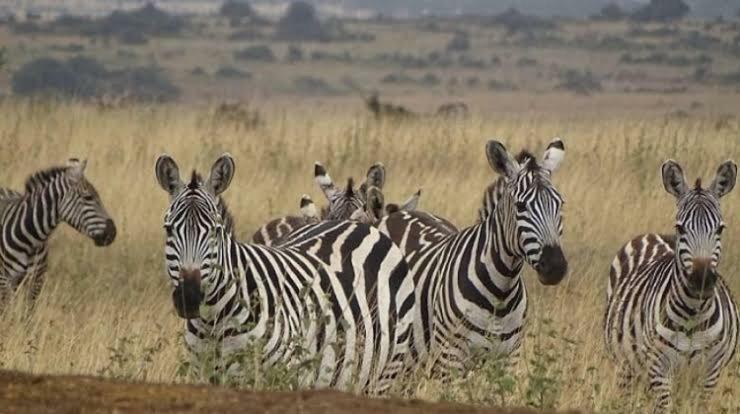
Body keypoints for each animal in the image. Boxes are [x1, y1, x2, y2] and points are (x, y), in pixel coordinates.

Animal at [0, 158, 116, 308]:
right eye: (88, 197)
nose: (113, 233)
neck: (30, 239)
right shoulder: (3, 281)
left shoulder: (37, 281)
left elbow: (28, 312)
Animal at [155, 154, 416, 392]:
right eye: (168, 229)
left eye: (215, 230)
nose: (189, 297)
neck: (214, 321)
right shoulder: (204, 375)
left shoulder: (280, 376)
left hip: (387, 370)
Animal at [376, 138, 568, 376]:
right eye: (521, 206)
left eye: (560, 204)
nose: (555, 267)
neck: (501, 294)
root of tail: (397, 213)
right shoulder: (450, 357)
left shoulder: (508, 358)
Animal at [604, 159, 736, 414]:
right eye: (681, 228)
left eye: (720, 229)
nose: (702, 279)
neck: (694, 314)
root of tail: (653, 234)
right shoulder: (659, 370)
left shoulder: (710, 374)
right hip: (626, 368)